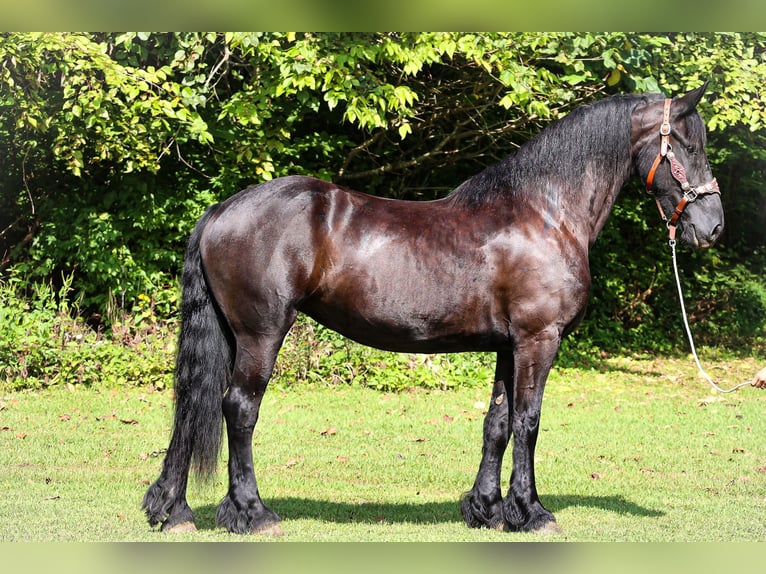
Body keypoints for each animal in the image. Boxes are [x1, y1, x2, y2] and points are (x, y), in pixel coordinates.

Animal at [142, 83, 724, 535]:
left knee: (192, 406)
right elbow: (529, 420)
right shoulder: (538, 339)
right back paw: (252, 512)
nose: (713, 226)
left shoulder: (508, 346)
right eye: (688, 145)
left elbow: (497, 422)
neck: (545, 212)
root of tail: (222, 210)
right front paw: (531, 511)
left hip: (230, 334)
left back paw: (173, 510)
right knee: (239, 409)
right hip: (261, 334)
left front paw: (487, 508)